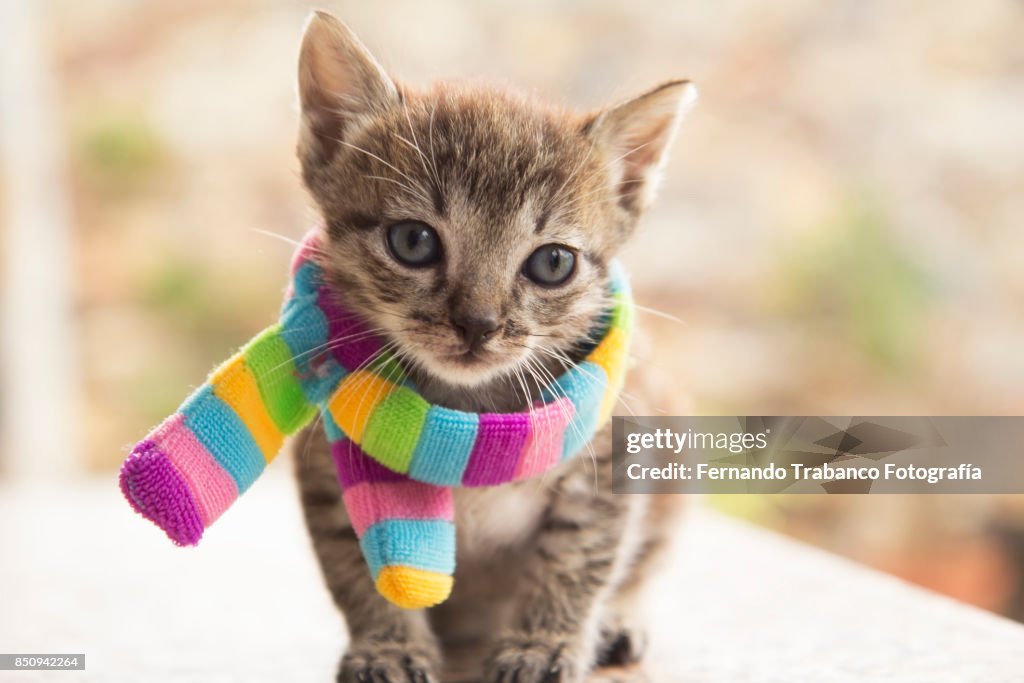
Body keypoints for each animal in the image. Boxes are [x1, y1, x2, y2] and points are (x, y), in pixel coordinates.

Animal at [292, 12, 700, 683]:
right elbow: (360, 567)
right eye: (413, 241)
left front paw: (542, 644)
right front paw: (387, 646)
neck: (467, 414)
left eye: (553, 263)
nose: (478, 324)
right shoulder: (327, 463)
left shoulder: (614, 452)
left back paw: (620, 619)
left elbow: (579, 558)